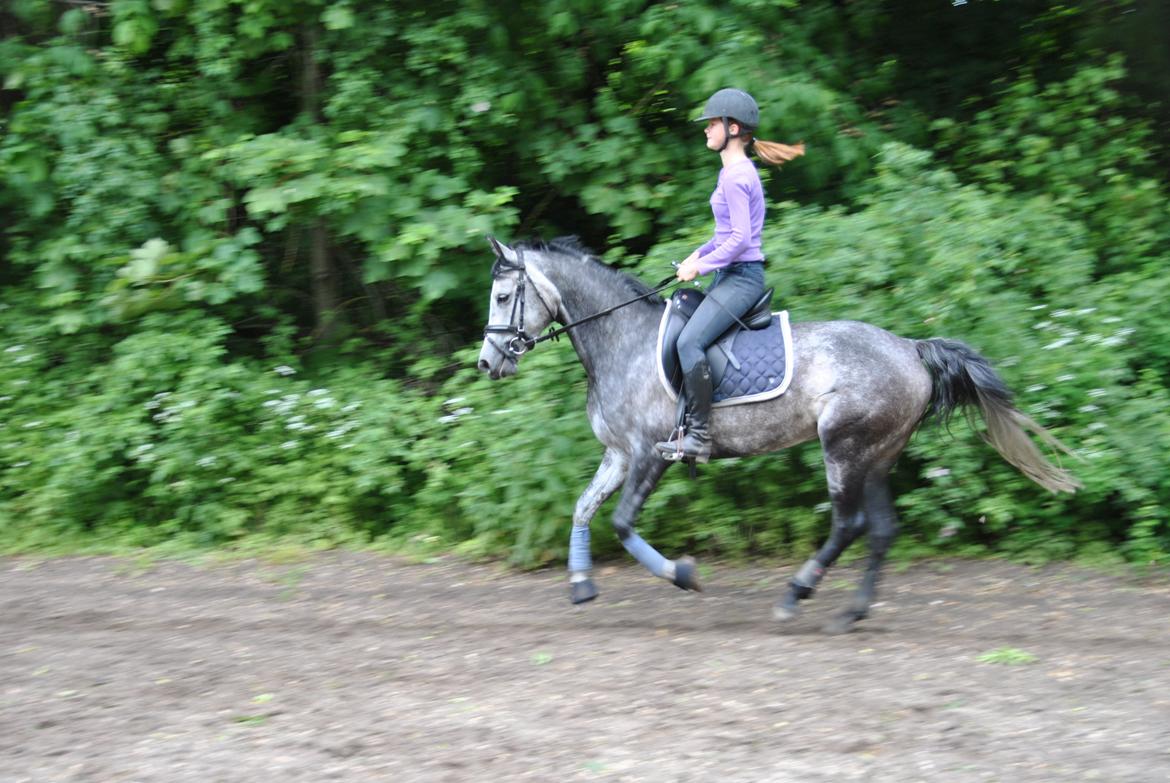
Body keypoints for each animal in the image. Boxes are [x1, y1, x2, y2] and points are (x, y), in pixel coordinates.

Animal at [475, 235, 1076, 632]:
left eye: (504, 297)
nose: (487, 363)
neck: (620, 340)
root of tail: (911, 348)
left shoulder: (650, 454)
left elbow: (621, 523)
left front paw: (684, 575)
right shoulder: (619, 454)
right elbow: (582, 508)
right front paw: (581, 585)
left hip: (844, 447)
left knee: (850, 523)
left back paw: (796, 593)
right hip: (877, 454)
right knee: (881, 530)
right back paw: (850, 613)